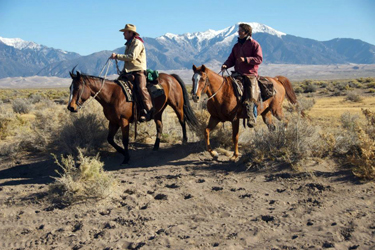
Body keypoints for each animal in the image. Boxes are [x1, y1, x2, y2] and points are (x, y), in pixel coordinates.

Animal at [67, 69, 200, 165]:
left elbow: (125, 140)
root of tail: (171, 76)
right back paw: (156, 146)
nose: (71, 107)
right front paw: (123, 153)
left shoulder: (123, 121)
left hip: (177, 106)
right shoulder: (113, 122)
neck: (112, 95)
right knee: (159, 126)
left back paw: (184, 140)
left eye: (78, 88)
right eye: (70, 88)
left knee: (182, 121)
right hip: (158, 112)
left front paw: (126, 157)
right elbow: (110, 139)